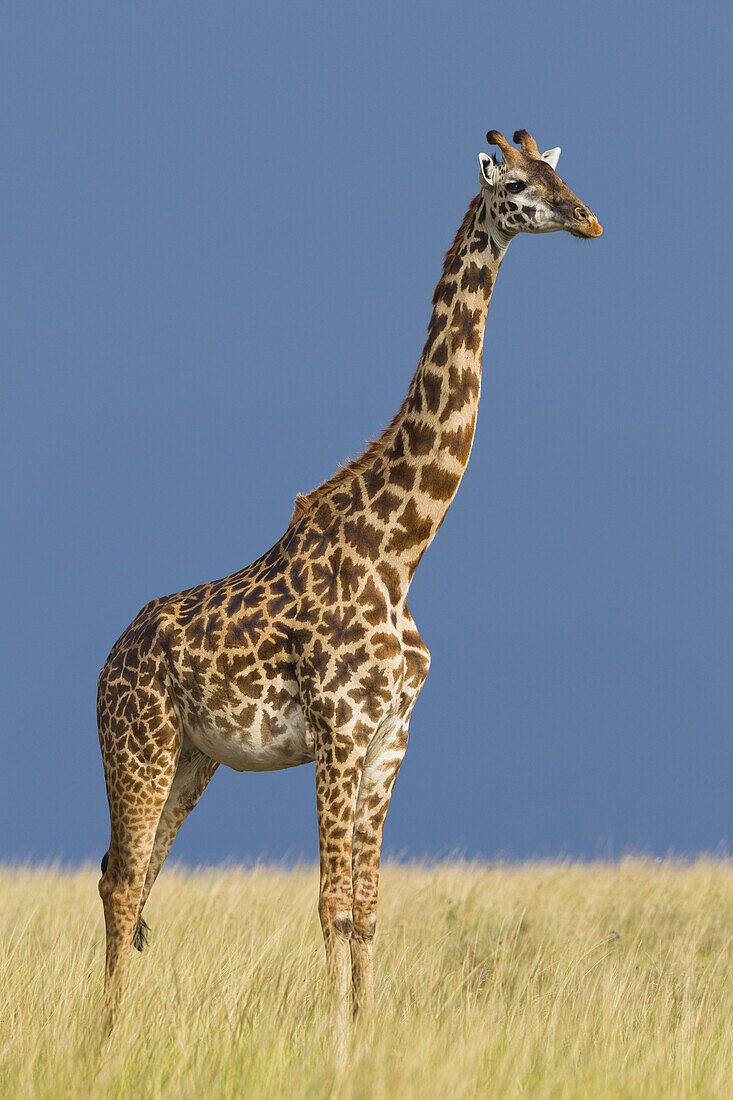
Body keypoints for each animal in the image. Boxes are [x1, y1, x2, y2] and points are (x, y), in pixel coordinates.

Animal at [96, 128, 598, 1038]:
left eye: (560, 172)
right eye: (515, 185)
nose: (588, 219)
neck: (398, 553)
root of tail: (106, 662)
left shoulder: (390, 736)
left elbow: (365, 907)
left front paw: (366, 1031)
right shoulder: (338, 728)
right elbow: (329, 904)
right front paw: (335, 1039)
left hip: (192, 758)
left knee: (136, 874)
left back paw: (125, 1023)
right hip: (137, 745)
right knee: (122, 881)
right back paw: (109, 1035)